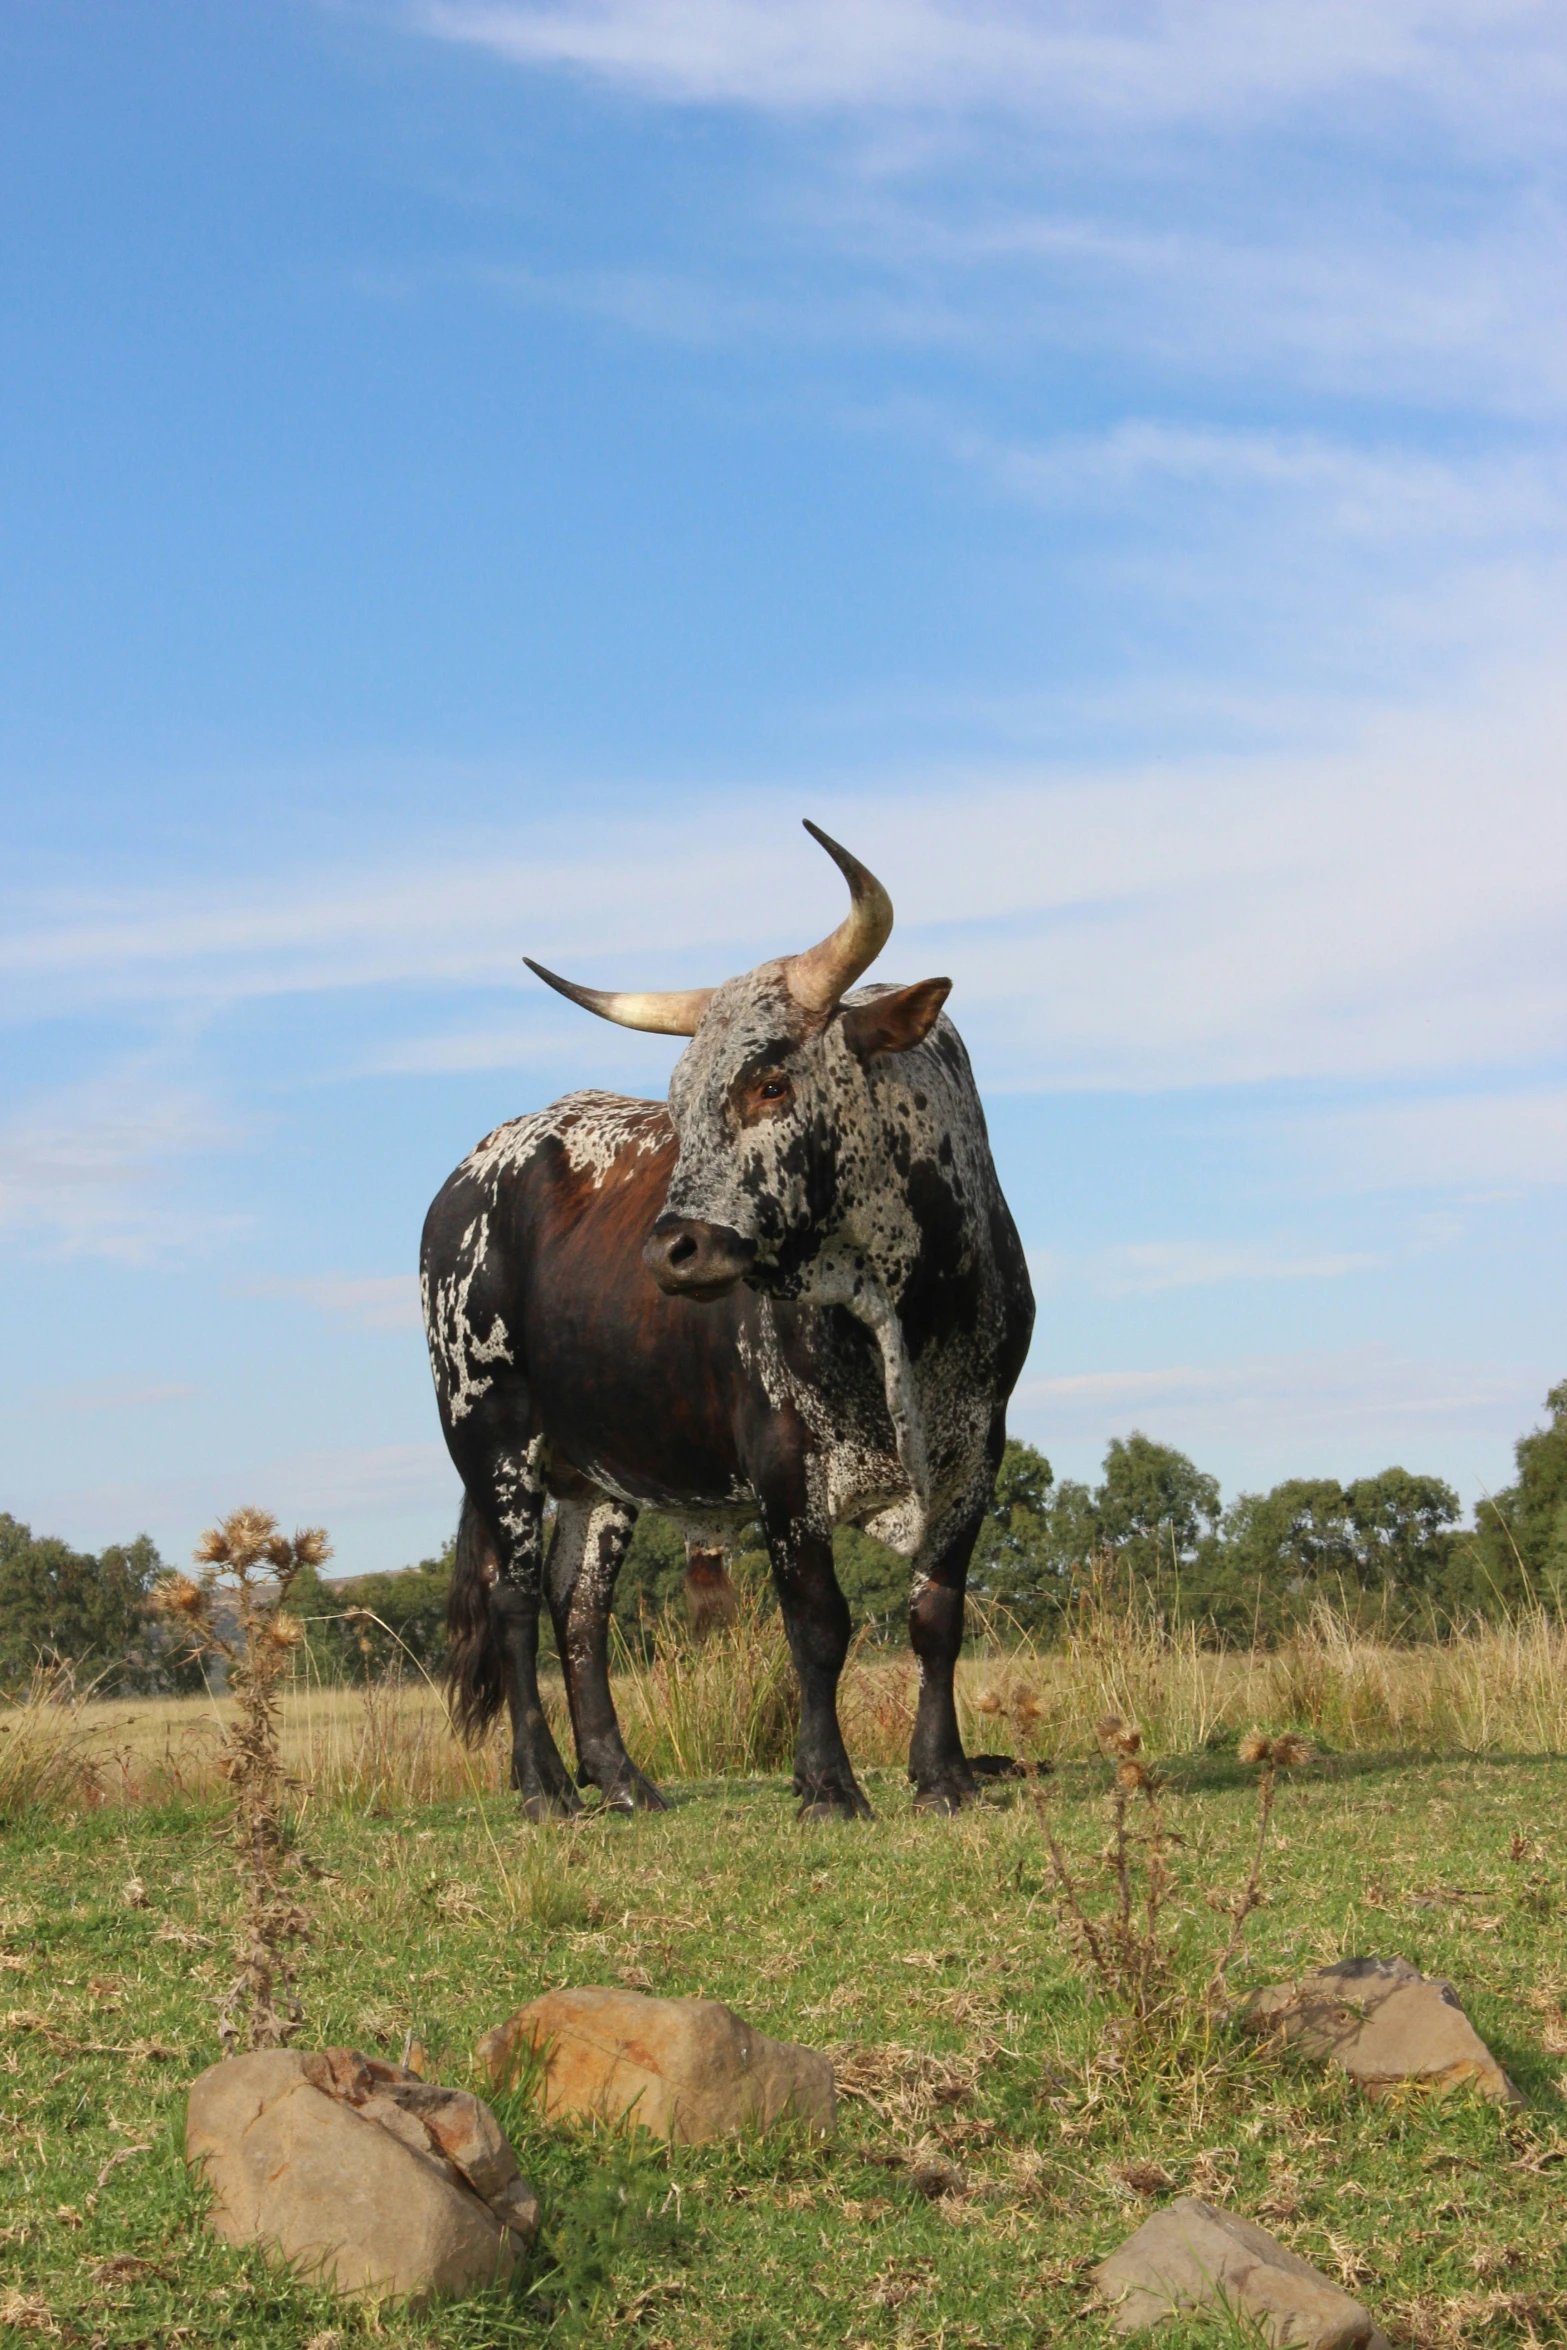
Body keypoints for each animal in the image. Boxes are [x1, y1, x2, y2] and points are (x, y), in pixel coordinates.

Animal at [422, 822, 1033, 1814]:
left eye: (771, 1083)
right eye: (675, 1100)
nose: (669, 1251)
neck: (893, 1314)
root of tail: (473, 1171)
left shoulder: (977, 1446)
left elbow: (935, 1614)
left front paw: (942, 1774)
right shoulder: (782, 1455)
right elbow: (817, 1623)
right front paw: (826, 1784)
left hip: (597, 1472)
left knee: (576, 1604)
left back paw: (621, 1778)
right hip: (489, 1432)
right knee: (511, 1600)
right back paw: (544, 1785)